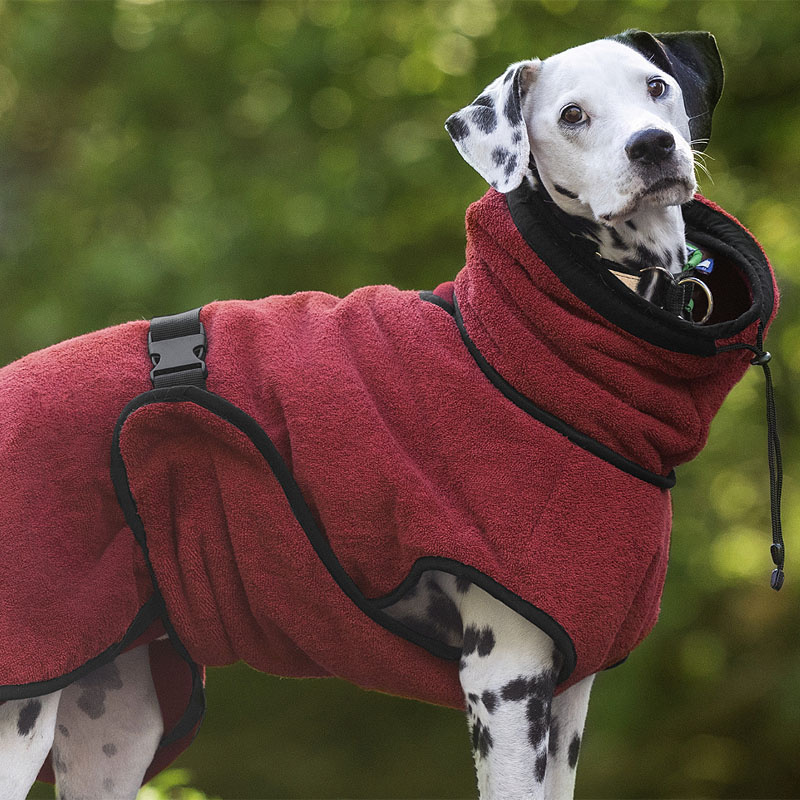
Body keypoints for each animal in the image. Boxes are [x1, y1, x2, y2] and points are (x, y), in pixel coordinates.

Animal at [0, 29, 724, 800]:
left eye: (655, 87)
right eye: (572, 115)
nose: (653, 147)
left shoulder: (569, 695)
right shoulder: (506, 679)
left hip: (115, 724)